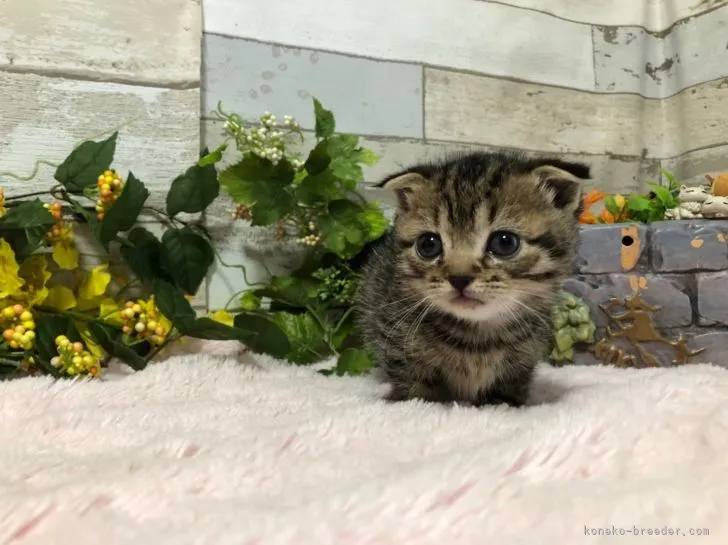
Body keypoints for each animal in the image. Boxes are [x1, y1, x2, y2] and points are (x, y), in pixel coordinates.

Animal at [356, 151, 588, 406]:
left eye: (505, 242)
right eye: (428, 245)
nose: (459, 278)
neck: (477, 338)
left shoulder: (525, 355)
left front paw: (502, 402)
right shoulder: (394, 335)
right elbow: (413, 380)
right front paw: (416, 400)